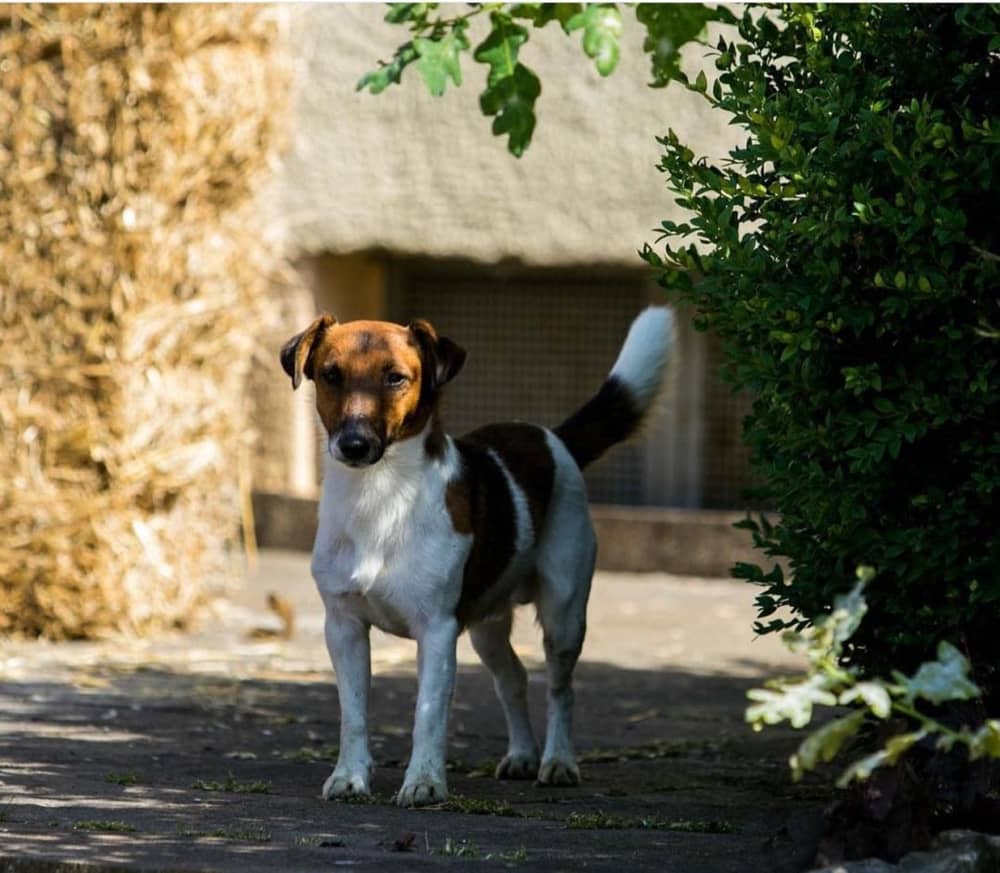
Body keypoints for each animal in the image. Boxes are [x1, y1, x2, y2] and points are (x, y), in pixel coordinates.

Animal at [282, 304, 672, 804]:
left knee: (560, 689)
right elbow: (353, 715)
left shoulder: (437, 631)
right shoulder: (343, 627)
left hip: (564, 615)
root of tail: (552, 437)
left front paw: (425, 782)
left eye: (395, 378)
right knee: (513, 680)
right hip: (487, 626)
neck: (381, 498)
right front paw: (350, 776)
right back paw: (523, 754)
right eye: (331, 375)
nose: (353, 444)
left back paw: (558, 761)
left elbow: (428, 715)